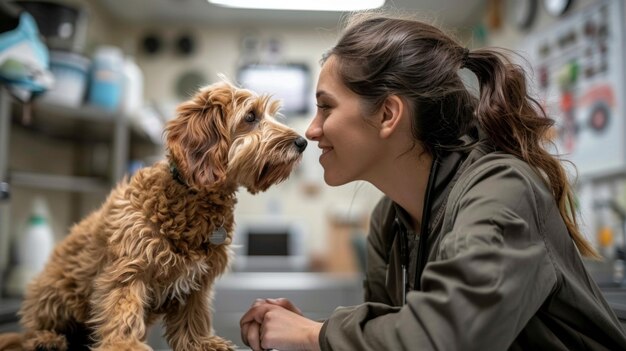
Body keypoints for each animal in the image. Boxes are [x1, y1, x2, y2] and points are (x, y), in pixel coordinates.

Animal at [0, 81, 306, 350]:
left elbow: (193, 316)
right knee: (31, 331)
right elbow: (122, 309)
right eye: (251, 116)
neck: (192, 197)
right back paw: (46, 338)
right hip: (54, 292)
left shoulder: (198, 282)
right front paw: (124, 345)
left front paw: (200, 343)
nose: (302, 142)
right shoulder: (128, 269)